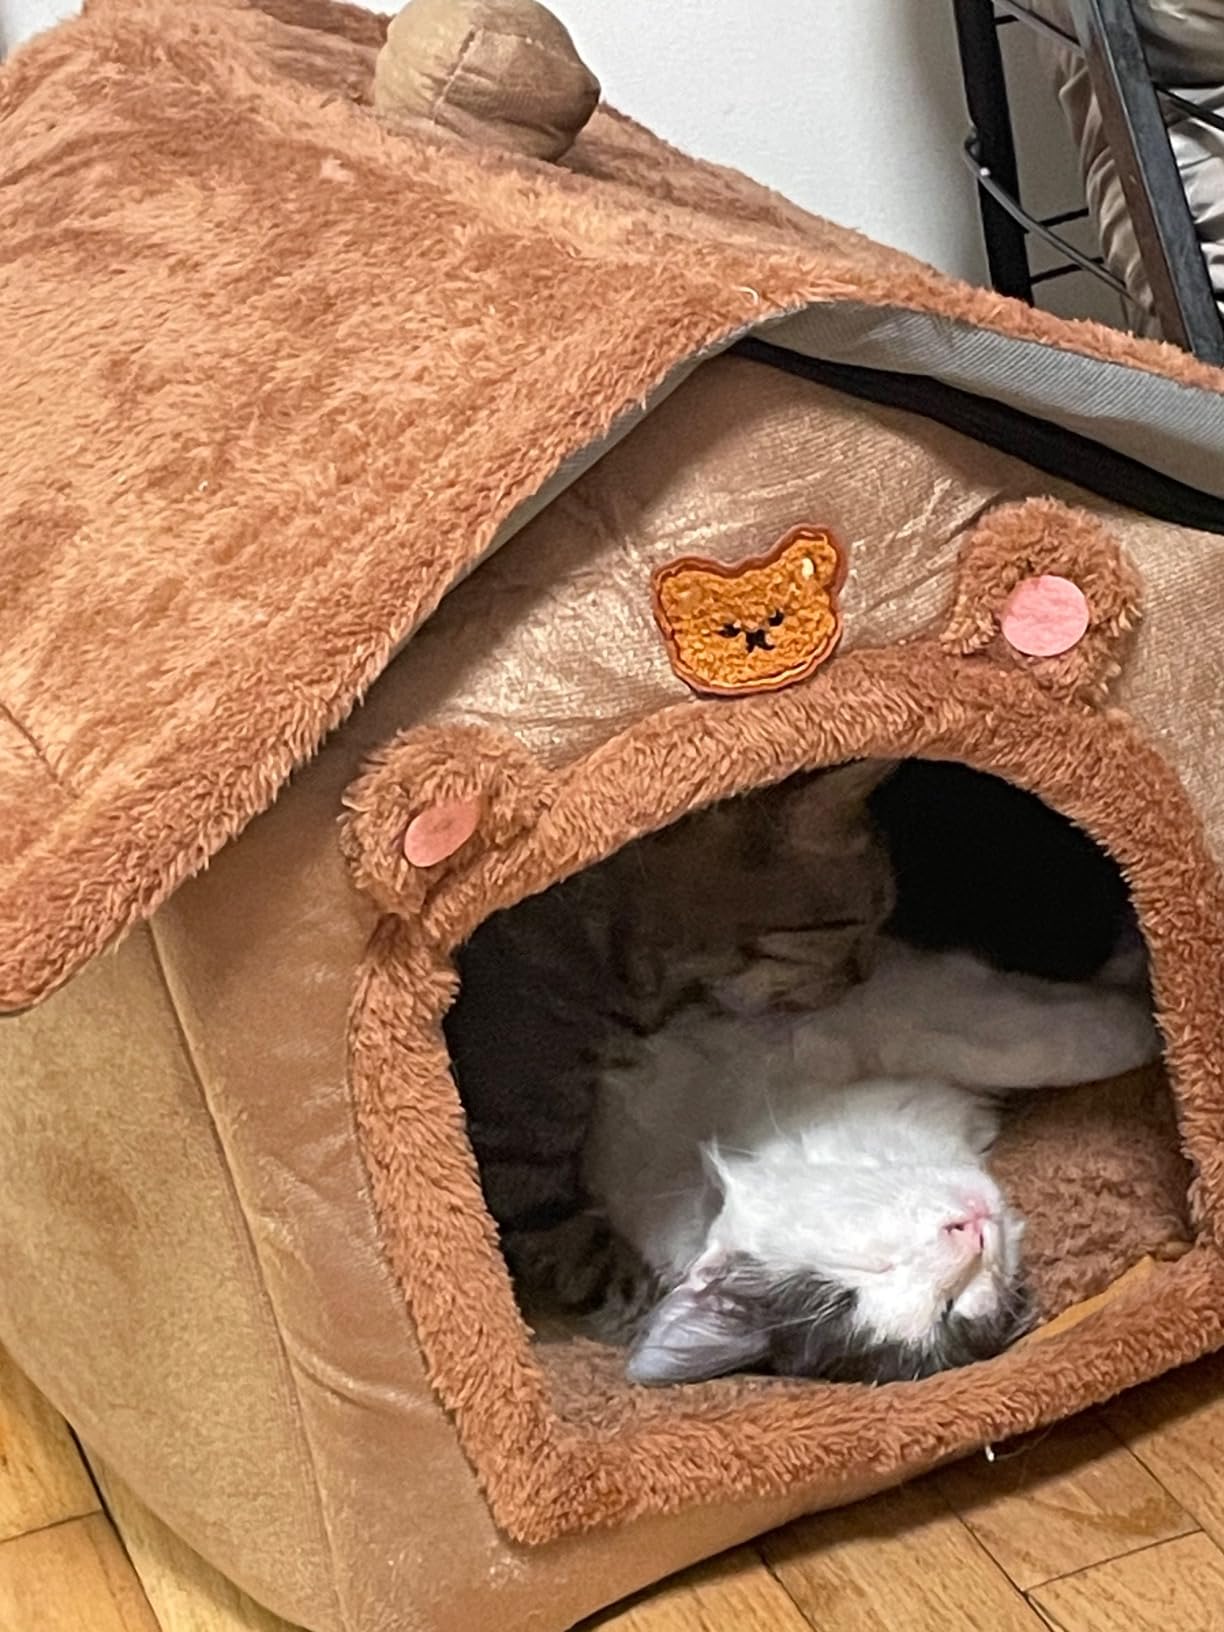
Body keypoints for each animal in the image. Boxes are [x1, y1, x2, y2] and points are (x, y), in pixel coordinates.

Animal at [585, 934, 1160, 1386]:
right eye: (950, 1309)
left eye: (870, 1263)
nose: (969, 1231)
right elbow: (1051, 1038)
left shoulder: (856, 1015)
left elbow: (1031, 1047)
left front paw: (1147, 1002)